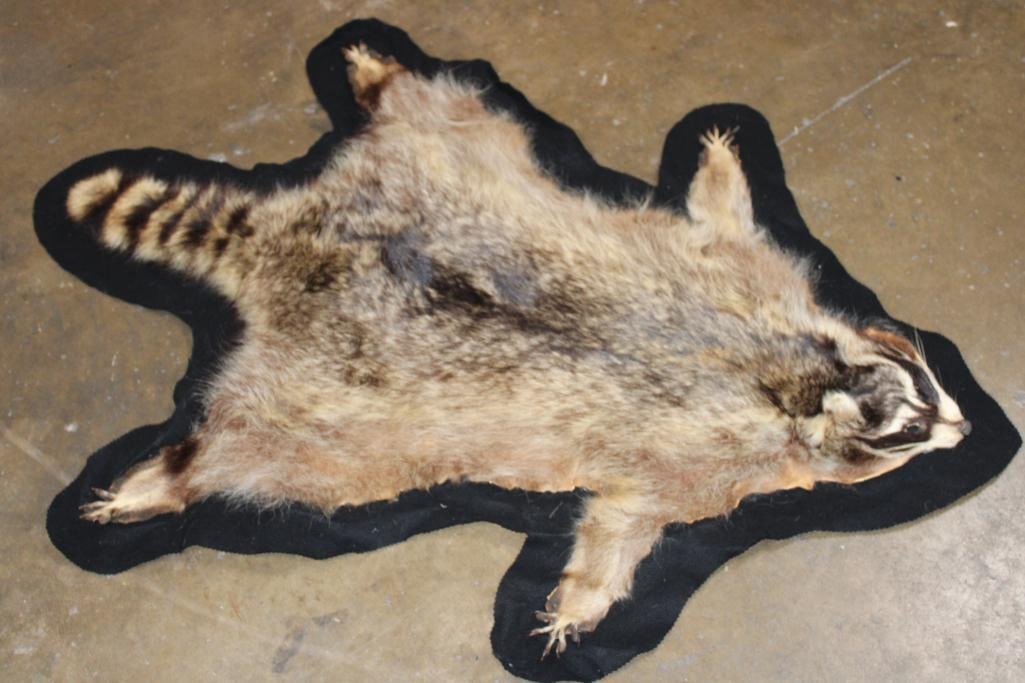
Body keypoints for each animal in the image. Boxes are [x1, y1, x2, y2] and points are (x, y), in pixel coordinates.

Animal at [67, 45, 969, 656]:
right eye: (906, 432)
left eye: (926, 386)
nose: (965, 427)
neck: (799, 374)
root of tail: (295, 244)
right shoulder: (704, 459)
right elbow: (622, 523)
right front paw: (580, 600)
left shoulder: (755, 280)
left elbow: (719, 222)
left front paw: (716, 163)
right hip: (338, 420)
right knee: (263, 456)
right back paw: (174, 473)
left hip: (436, 162)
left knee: (438, 115)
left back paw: (380, 81)